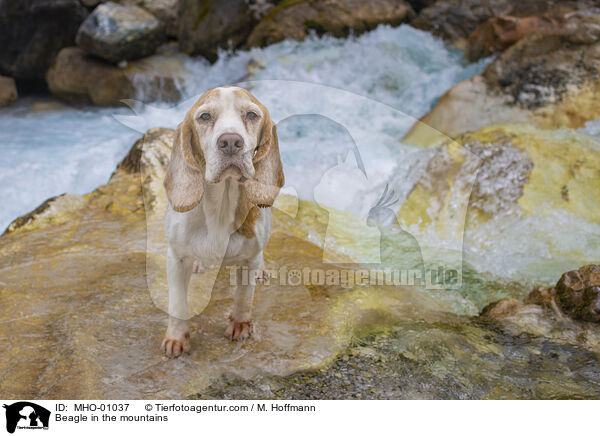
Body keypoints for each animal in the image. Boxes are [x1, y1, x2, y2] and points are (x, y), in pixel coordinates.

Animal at [162, 86, 284, 358]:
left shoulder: (249, 260)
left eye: (251, 114)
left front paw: (240, 324)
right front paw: (176, 337)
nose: (230, 142)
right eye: (205, 117)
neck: (221, 205)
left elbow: (244, 296)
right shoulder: (175, 259)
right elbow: (177, 303)